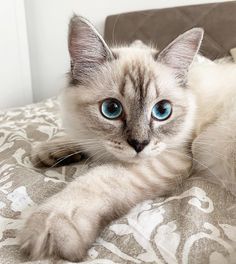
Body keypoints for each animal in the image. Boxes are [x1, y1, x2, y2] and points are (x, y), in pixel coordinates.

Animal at [18, 14, 203, 262]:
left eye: (162, 111)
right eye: (111, 109)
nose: (139, 144)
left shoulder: (173, 156)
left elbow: (99, 178)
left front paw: (54, 223)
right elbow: (80, 139)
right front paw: (51, 150)